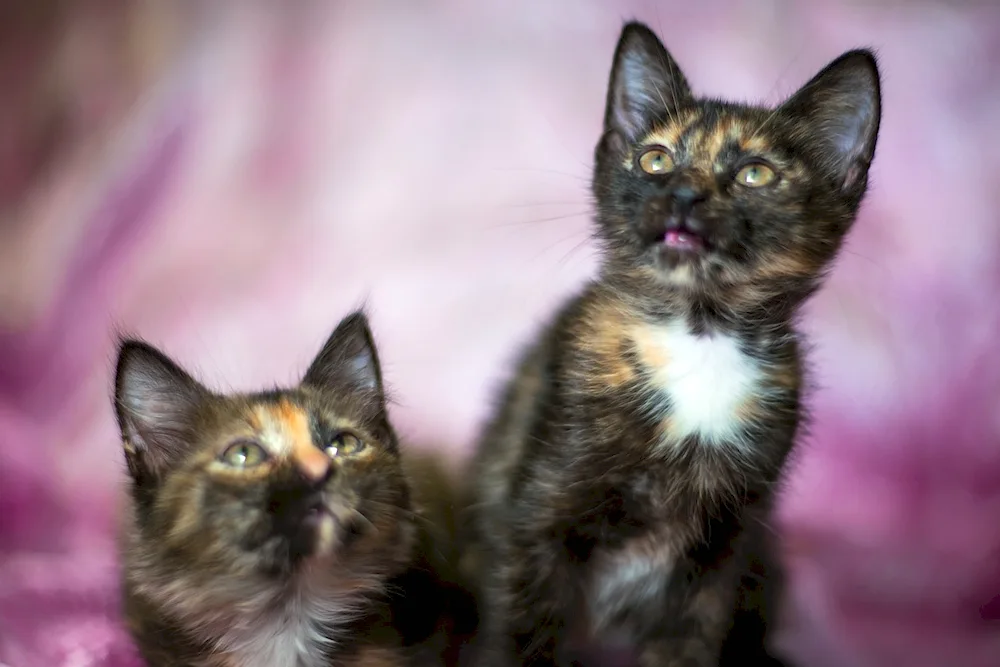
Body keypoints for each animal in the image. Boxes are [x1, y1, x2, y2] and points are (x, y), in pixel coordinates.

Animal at [464, 20, 880, 667]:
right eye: (655, 159)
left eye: (755, 173)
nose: (683, 193)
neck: (697, 335)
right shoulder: (536, 520)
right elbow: (524, 637)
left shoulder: (724, 546)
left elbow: (688, 641)